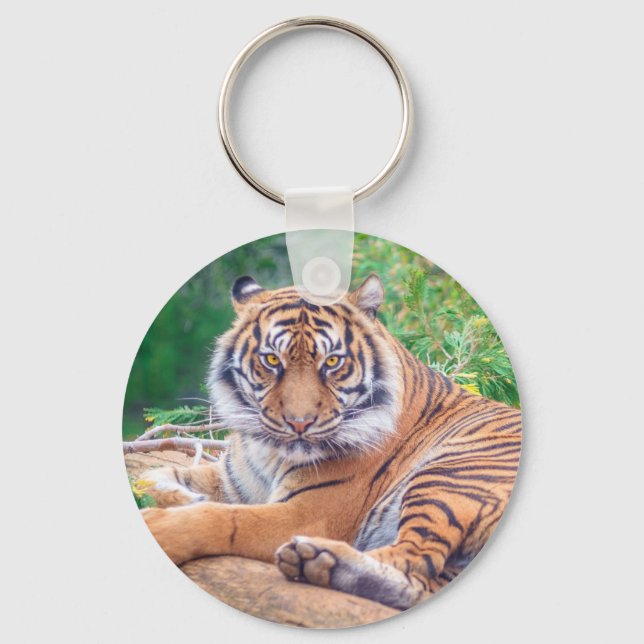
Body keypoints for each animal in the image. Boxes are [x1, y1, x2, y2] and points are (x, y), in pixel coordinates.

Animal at [140, 273, 522, 611]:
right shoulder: (231, 480)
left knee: (414, 562)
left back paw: (321, 558)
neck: (268, 452)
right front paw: (180, 496)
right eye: (272, 359)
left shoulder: (306, 514)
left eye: (333, 362)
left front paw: (160, 525)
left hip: (450, 476)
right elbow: (156, 475)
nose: (299, 423)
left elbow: (221, 518)